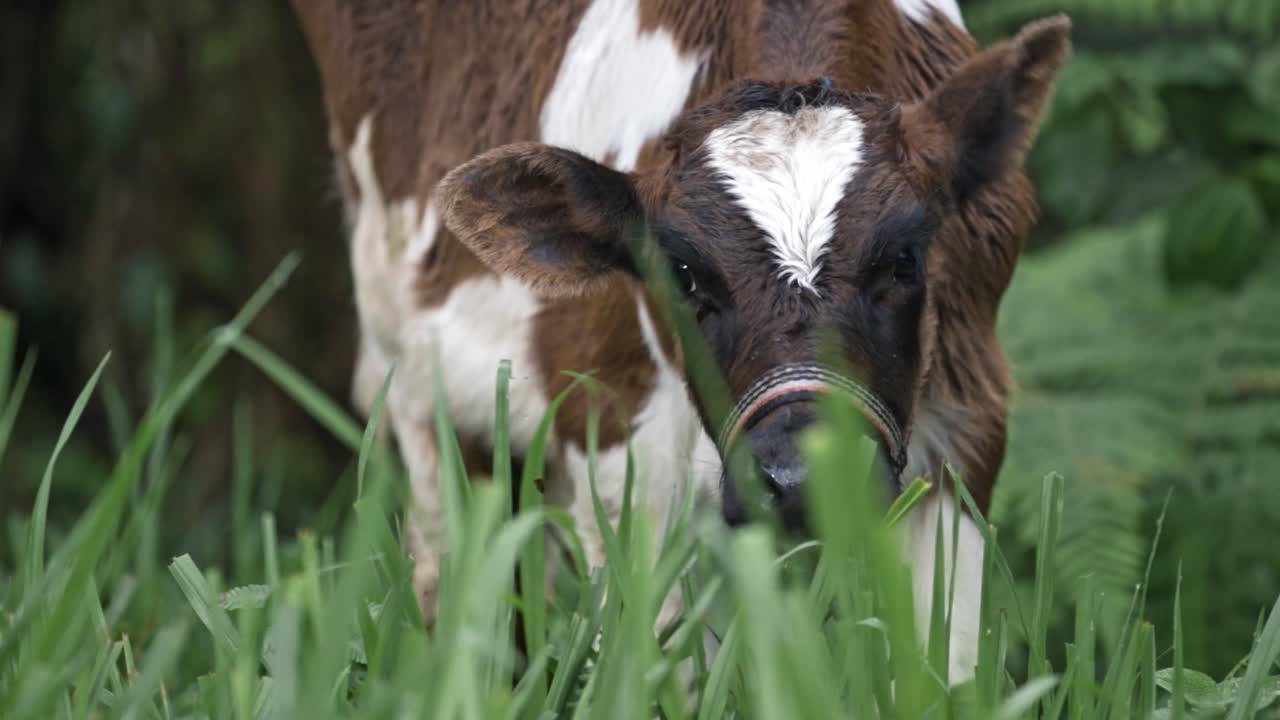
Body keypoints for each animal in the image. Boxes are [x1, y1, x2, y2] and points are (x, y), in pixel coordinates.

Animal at [291, 0, 1070, 682]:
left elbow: (949, 665)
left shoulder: (969, 424)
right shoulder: (614, 437)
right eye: (686, 274)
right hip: (414, 381)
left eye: (905, 260)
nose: (803, 474)